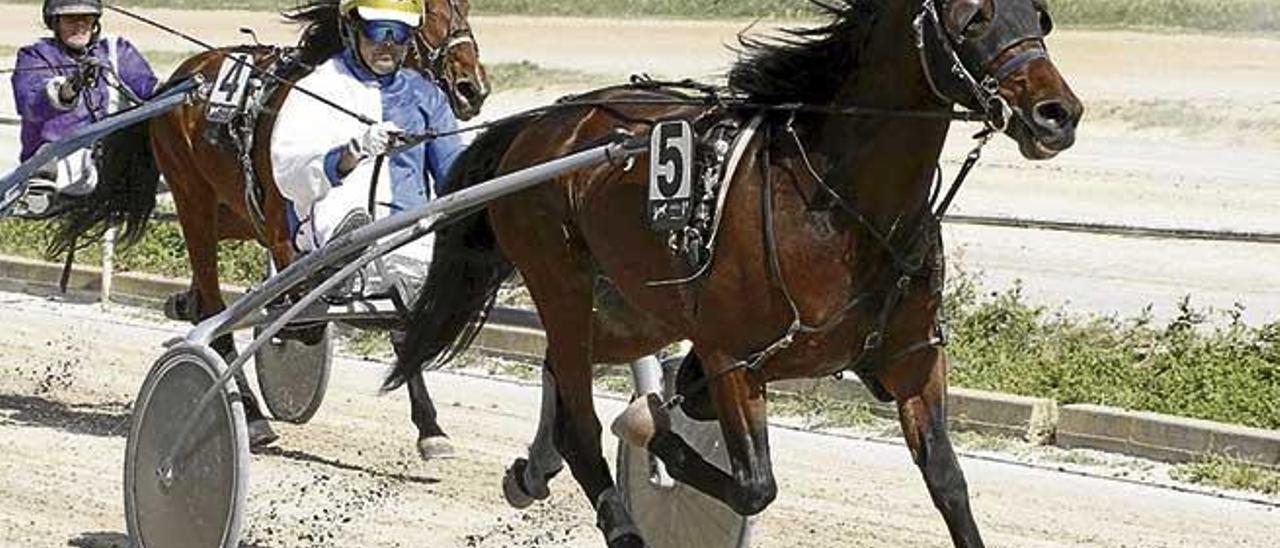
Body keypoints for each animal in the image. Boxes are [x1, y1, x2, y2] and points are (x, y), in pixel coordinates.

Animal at [52, 0, 486, 458]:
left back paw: (189, 305)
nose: (471, 89)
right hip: (194, 206)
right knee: (214, 308)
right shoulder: (284, 230)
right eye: (428, 13)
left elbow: (400, 315)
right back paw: (252, 415)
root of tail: (181, 78)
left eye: (465, 6)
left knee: (208, 299)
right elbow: (305, 315)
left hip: (233, 216)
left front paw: (430, 428)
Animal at [389, 0, 1080, 545]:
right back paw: (619, 517)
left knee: (562, 367)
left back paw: (534, 470)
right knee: (580, 412)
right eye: (974, 16)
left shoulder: (911, 358)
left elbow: (947, 481)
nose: (1058, 113)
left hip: (635, 312)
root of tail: (536, 125)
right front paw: (648, 425)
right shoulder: (733, 358)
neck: (841, 202)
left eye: (1040, 16)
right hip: (560, 281)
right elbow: (752, 484)